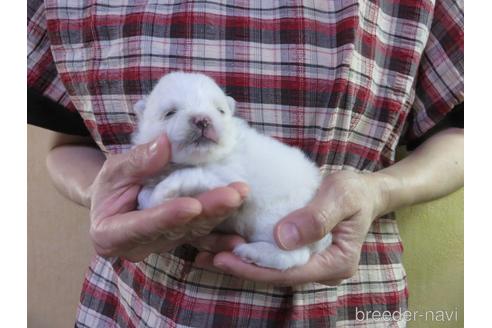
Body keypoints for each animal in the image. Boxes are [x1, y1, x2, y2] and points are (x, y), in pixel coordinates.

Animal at [132, 72, 330, 270]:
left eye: (220, 111)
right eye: (170, 113)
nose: (203, 120)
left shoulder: (226, 175)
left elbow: (185, 175)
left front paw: (161, 194)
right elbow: (144, 192)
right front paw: (148, 198)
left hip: (276, 221)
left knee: (295, 255)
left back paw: (254, 252)